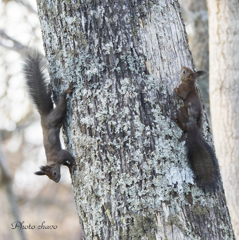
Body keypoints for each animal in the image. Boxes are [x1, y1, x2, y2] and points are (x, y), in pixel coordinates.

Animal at [22, 52, 74, 182]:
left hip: (57, 115)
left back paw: (65, 91)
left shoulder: (61, 155)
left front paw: (74, 163)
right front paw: (69, 166)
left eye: (54, 173)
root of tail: (44, 116)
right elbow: (66, 163)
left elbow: (68, 156)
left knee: (62, 103)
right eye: (50, 177)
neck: (52, 161)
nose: (57, 181)